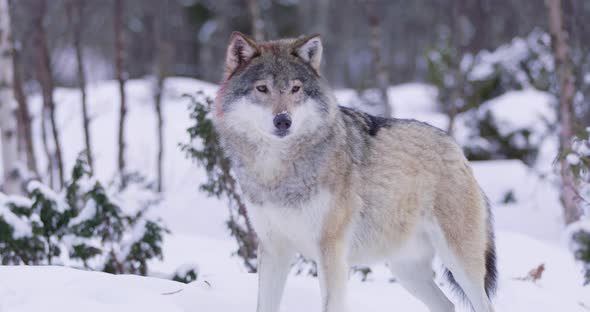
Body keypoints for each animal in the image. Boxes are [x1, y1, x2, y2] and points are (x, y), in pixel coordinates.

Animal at [214, 32, 500, 312]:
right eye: (262, 88)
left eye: (296, 88)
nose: (283, 120)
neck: (276, 171)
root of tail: (457, 149)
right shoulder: (273, 249)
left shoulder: (331, 249)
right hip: (407, 271)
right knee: (448, 305)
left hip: (460, 264)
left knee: (483, 304)